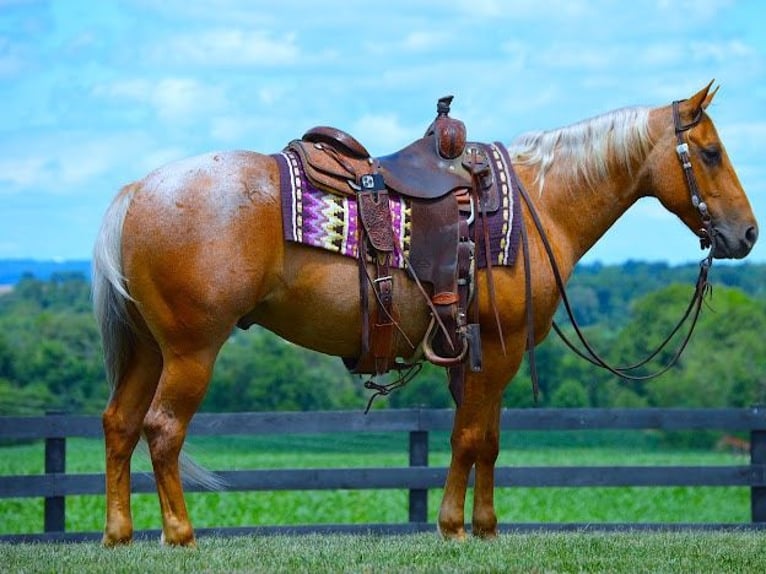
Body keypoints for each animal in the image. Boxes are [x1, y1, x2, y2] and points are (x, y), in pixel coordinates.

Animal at [93, 82, 760, 548]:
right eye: (710, 153)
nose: (747, 233)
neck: (540, 203)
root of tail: (138, 191)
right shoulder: (499, 347)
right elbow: (468, 437)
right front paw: (452, 526)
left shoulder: (480, 353)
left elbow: (487, 440)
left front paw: (485, 526)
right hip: (191, 350)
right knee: (162, 430)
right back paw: (180, 535)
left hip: (147, 350)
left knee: (119, 424)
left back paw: (118, 534)